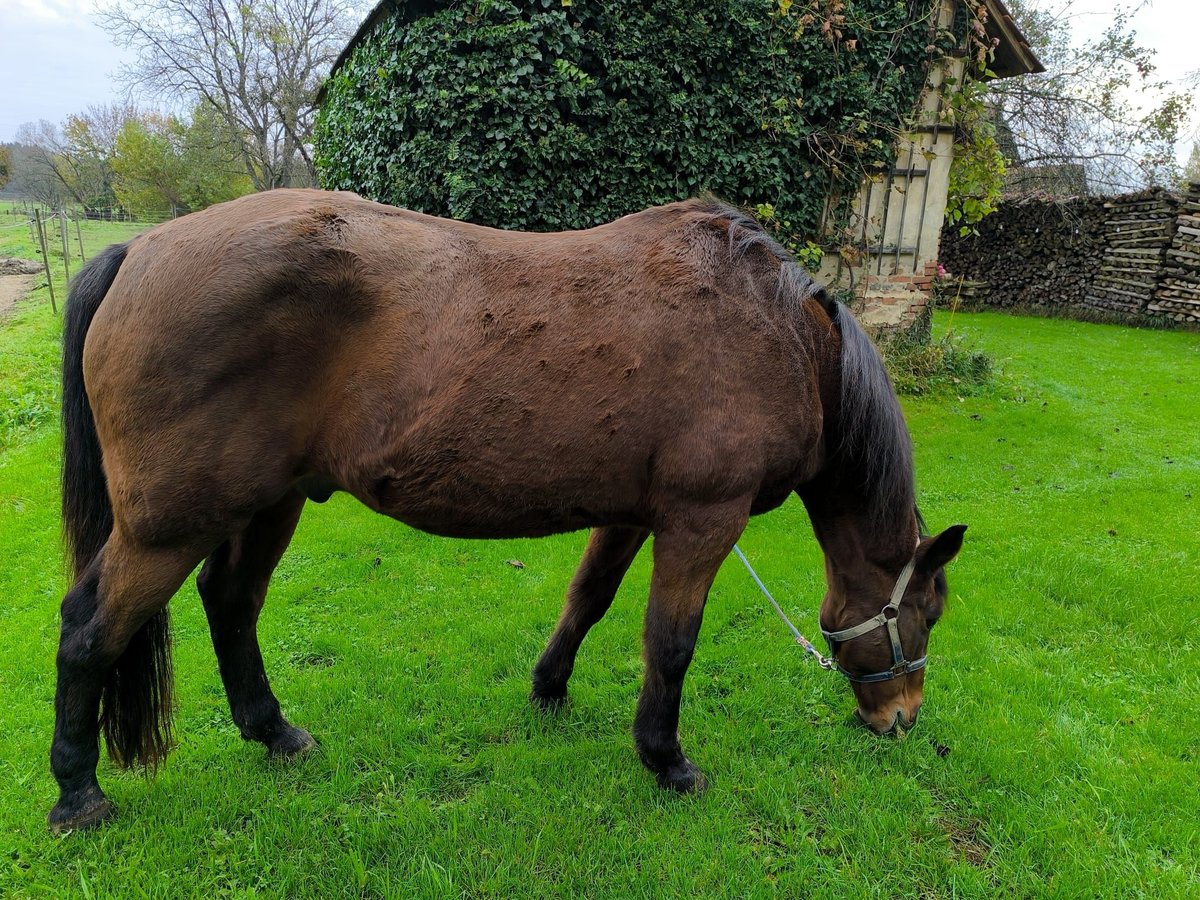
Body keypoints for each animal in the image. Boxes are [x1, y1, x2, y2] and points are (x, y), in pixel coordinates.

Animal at [51, 190, 964, 830]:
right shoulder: (704, 519)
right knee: (91, 628)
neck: (783, 338)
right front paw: (667, 761)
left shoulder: (633, 513)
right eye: (926, 612)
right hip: (169, 526)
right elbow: (671, 645)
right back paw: (77, 791)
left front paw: (549, 688)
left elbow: (589, 599)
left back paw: (274, 733)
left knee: (231, 602)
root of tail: (138, 251)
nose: (902, 720)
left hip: (266, 503)